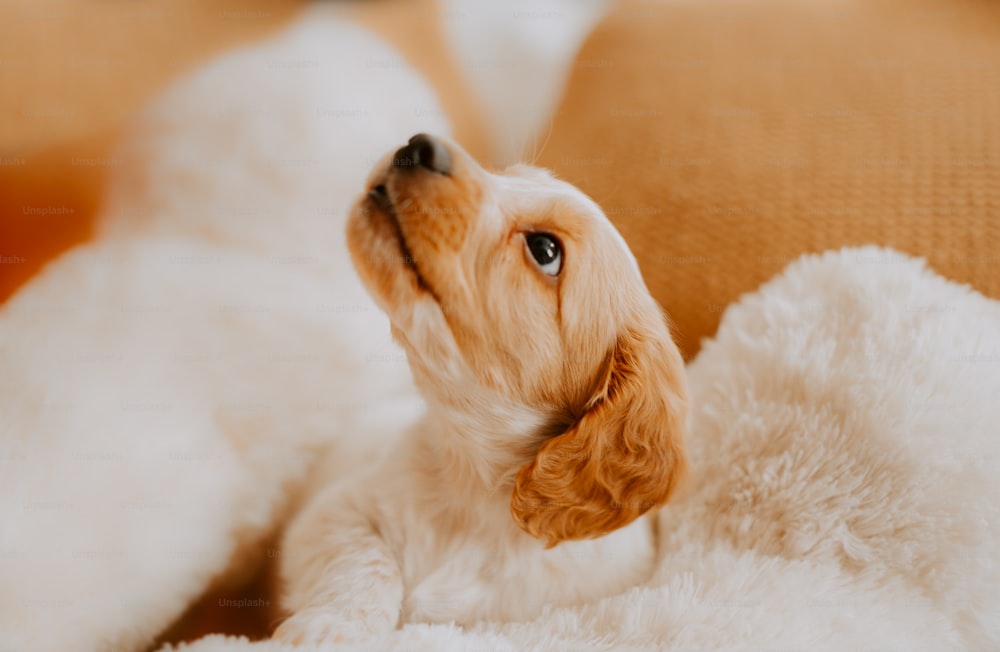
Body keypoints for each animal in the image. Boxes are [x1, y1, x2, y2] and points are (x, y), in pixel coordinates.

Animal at [278, 135, 692, 644]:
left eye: (545, 249)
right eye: (507, 176)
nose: (421, 143)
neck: (471, 485)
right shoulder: (332, 514)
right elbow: (366, 563)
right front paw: (329, 627)